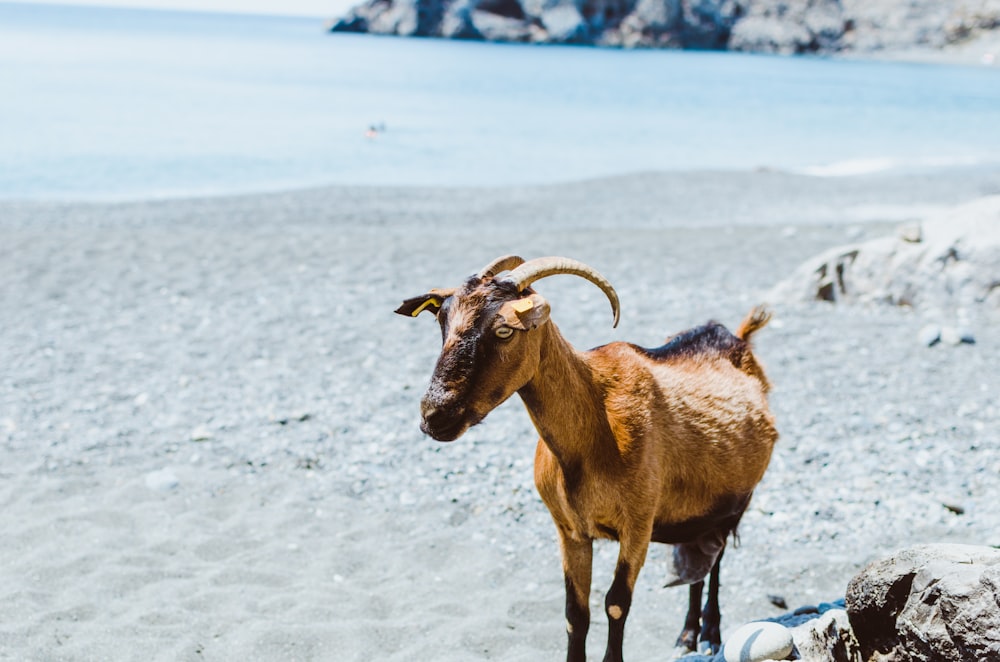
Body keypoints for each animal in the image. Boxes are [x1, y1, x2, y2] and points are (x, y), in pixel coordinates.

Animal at [394, 256, 776, 660]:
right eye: (442, 321)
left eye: (504, 330)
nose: (435, 416)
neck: (594, 433)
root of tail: (738, 338)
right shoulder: (570, 530)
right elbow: (575, 613)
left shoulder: (638, 525)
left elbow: (616, 603)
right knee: (699, 562)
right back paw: (688, 634)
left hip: (735, 503)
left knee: (716, 563)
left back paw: (710, 633)